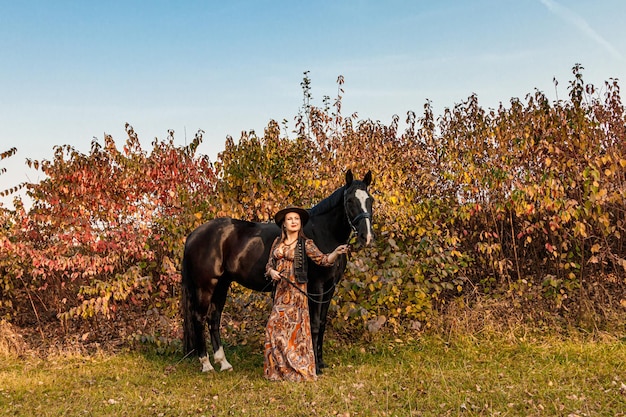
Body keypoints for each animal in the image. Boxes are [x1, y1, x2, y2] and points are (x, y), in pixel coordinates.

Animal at [183, 169, 372, 370]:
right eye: (350, 200)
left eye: (370, 200)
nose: (366, 236)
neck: (324, 233)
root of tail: (194, 235)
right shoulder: (317, 287)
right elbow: (314, 324)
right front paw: (315, 366)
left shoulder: (330, 287)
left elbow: (321, 324)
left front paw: (321, 362)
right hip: (205, 286)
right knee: (199, 318)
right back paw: (207, 365)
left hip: (222, 284)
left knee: (214, 319)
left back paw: (223, 363)